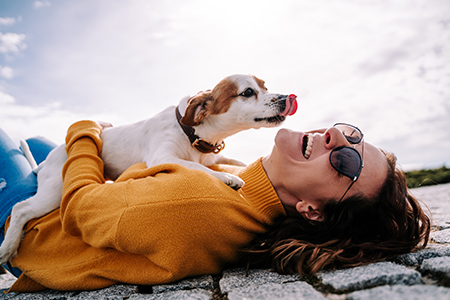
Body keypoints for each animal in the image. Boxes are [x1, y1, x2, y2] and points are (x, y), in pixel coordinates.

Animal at [0, 74, 296, 262]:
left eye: (265, 86)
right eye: (247, 92)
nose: (286, 97)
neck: (193, 134)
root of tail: (48, 159)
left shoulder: (212, 156)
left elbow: (236, 163)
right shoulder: (162, 157)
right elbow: (196, 167)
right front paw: (226, 177)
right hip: (54, 191)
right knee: (20, 208)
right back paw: (8, 246)